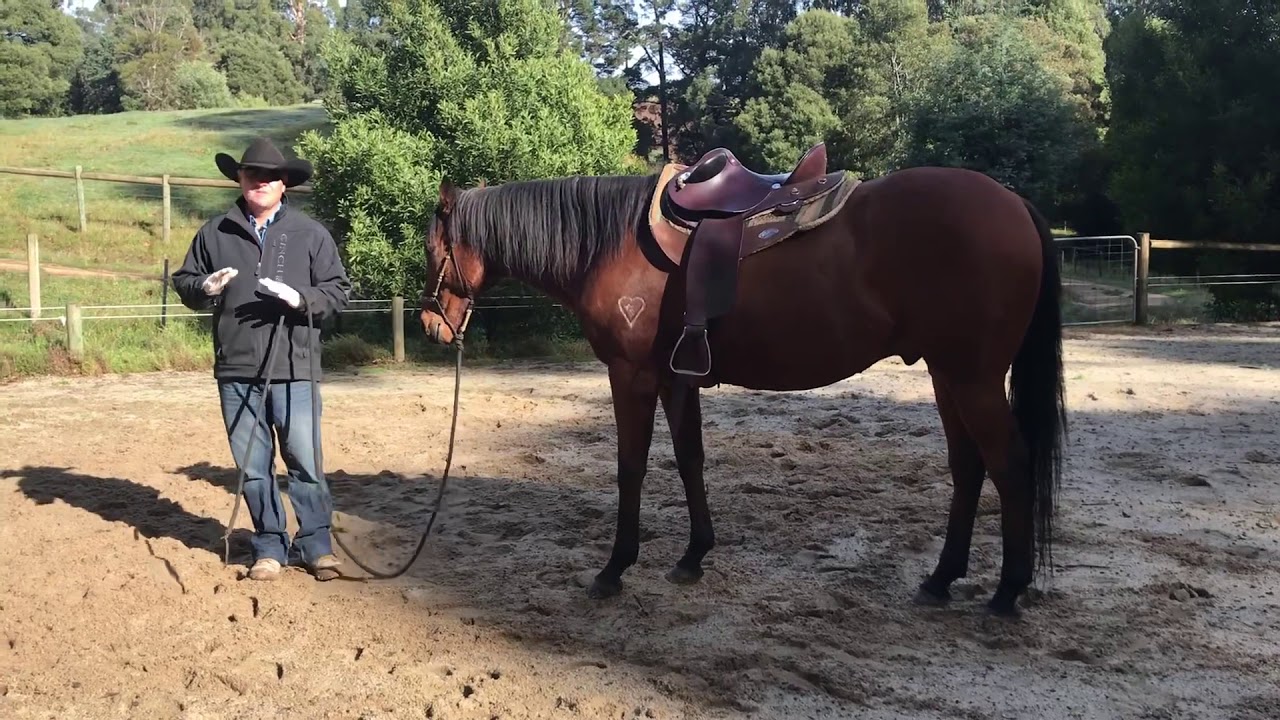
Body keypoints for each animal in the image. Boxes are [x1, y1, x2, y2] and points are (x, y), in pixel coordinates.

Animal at [417, 145, 1067, 617]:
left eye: (432, 249)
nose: (431, 324)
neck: (613, 242)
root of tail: (1016, 204)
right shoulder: (676, 378)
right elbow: (690, 459)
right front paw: (693, 556)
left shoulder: (631, 375)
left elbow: (631, 467)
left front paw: (614, 569)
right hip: (945, 374)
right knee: (968, 467)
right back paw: (941, 578)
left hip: (973, 378)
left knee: (1009, 464)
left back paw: (1007, 591)